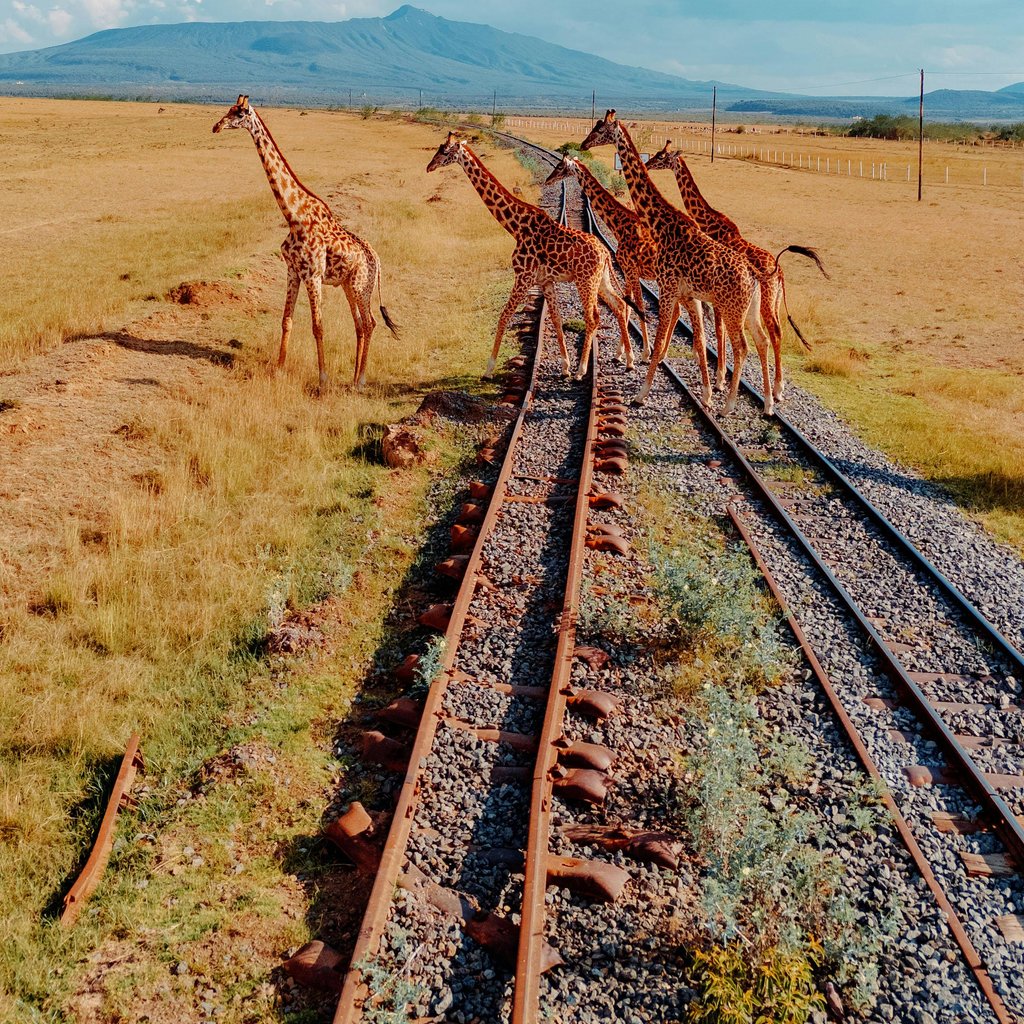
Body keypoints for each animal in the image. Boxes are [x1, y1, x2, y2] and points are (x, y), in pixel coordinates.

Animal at [212, 95, 398, 391]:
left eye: (239, 113)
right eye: (229, 109)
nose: (216, 126)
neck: (293, 216)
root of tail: (377, 259)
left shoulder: (313, 275)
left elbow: (317, 326)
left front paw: (323, 379)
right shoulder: (293, 271)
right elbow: (286, 320)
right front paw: (278, 370)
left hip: (362, 286)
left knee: (369, 323)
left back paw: (360, 381)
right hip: (349, 285)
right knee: (359, 325)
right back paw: (353, 378)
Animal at [426, 132, 635, 380]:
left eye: (445, 151)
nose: (429, 166)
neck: (516, 226)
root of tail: (605, 252)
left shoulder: (523, 276)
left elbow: (504, 316)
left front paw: (488, 369)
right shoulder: (545, 281)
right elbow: (556, 318)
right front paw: (564, 366)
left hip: (586, 281)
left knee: (593, 317)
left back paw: (583, 370)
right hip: (600, 280)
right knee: (619, 305)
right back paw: (628, 360)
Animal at [543, 153, 658, 360]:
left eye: (560, 167)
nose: (548, 180)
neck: (620, 225)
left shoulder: (631, 269)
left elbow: (637, 305)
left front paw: (643, 352)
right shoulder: (628, 270)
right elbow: (627, 305)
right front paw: (622, 353)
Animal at [581, 111, 773, 415]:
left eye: (600, 129)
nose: (583, 144)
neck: (663, 224)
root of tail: (754, 274)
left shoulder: (666, 285)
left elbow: (655, 328)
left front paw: (641, 390)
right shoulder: (683, 291)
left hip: (733, 308)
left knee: (743, 346)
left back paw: (729, 405)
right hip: (749, 308)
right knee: (762, 340)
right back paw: (767, 403)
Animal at [645, 140, 828, 402]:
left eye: (662, 156)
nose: (648, 163)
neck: (709, 223)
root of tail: (780, 273)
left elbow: (718, 329)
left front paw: (720, 379)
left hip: (764, 303)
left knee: (774, 333)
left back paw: (776, 390)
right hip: (773, 301)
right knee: (777, 333)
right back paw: (775, 388)